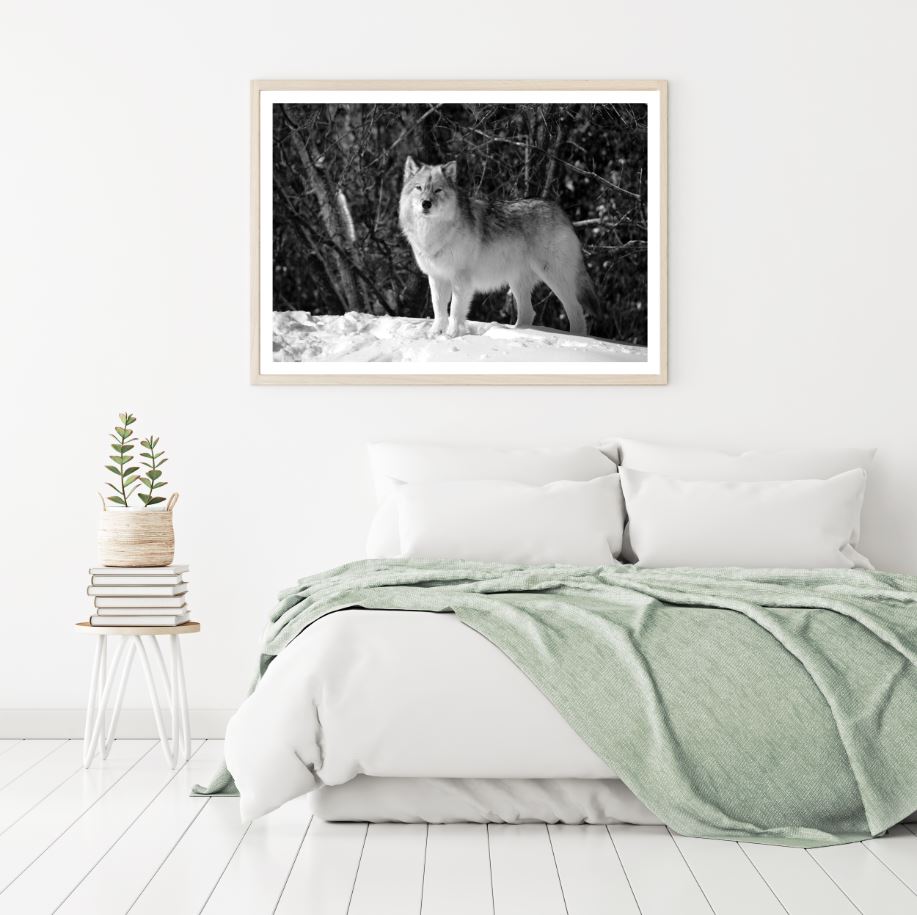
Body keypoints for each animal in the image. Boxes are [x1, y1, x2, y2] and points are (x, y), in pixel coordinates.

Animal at [398, 157, 596, 338]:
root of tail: (559, 209)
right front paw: (435, 334)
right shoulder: (437, 277)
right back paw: (519, 333)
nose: (426, 203)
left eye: (438, 190)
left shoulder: (461, 278)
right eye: (419, 188)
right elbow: (439, 309)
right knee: (528, 312)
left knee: (576, 311)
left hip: (553, 276)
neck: (432, 233)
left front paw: (451, 335)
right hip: (517, 282)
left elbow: (455, 310)